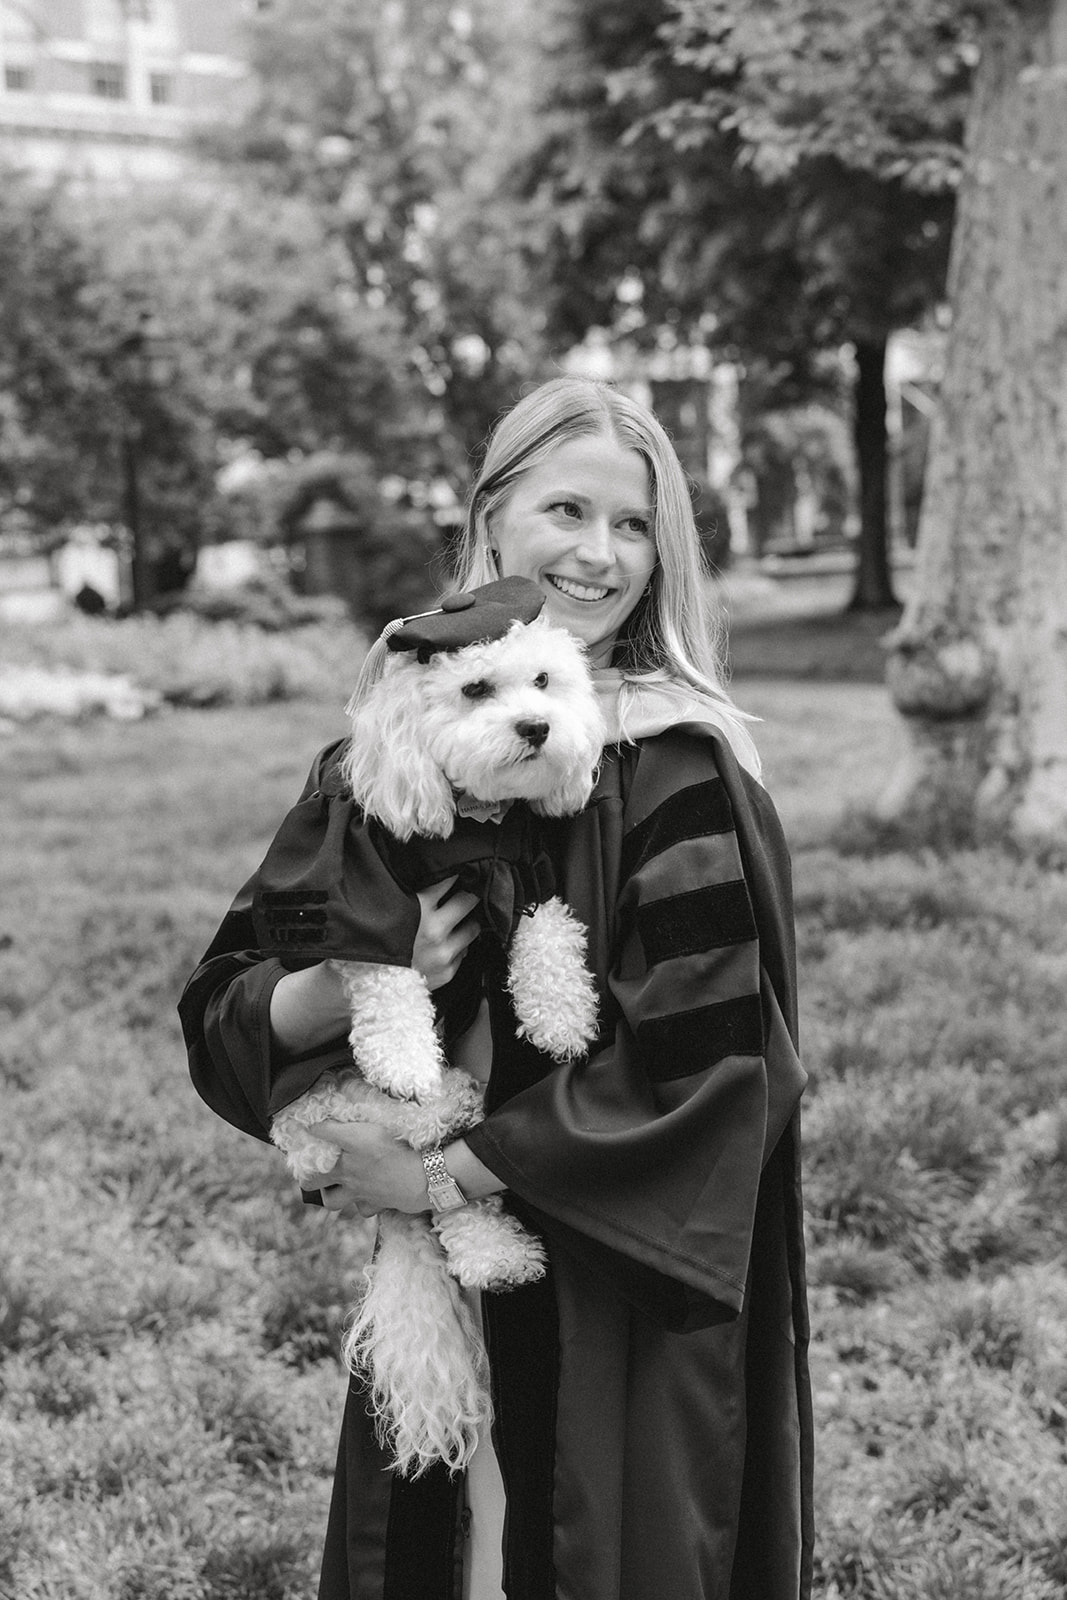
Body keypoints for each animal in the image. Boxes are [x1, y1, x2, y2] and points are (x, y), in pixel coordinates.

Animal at [271, 582, 604, 1478]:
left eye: (543, 681)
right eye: (474, 689)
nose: (537, 728)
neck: (475, 825)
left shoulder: (526, 870)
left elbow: (546, 931)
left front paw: (560, 1014)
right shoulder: (358, 886)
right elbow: (386, 973)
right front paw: (403, 1053)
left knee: (447, 1192)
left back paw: (496, 1254)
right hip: (321, 1114)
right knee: (409, 1131)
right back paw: (431, 1093)